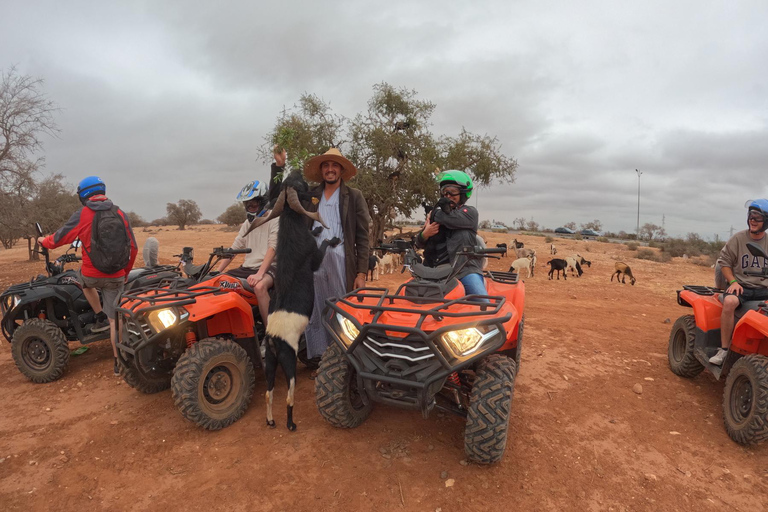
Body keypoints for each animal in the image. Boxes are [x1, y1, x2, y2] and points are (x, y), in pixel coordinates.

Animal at [246, 170, 340, 430]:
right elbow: (322, 246)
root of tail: (272, 338)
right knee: (288, 395)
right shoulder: (313, 258)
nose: (297, 170)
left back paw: (270, 421)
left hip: (270, 364)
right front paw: (331, 238)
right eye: (298, 184)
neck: (291, 232)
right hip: (288, 361)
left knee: (268, 393)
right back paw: (290, 424)